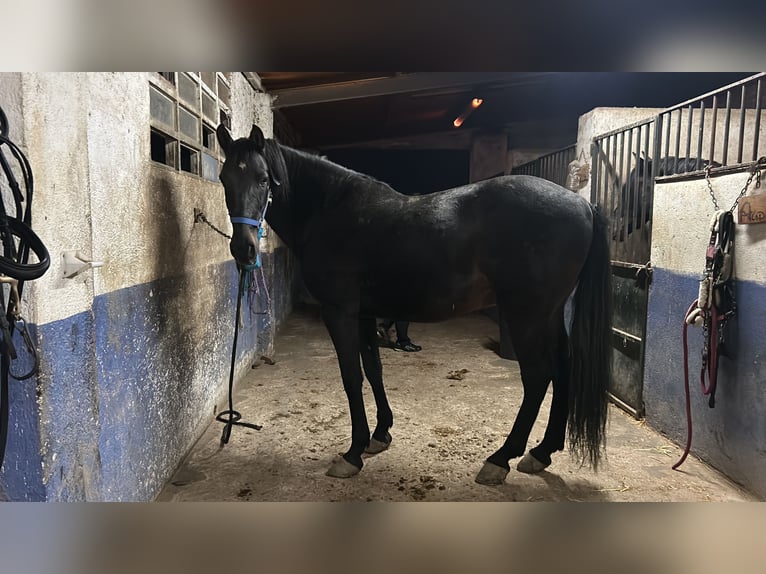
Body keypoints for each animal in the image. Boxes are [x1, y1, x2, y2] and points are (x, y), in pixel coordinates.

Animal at [219, 125, 616, 486]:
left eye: (263, 179)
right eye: (224, 179)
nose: (244, 249)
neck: (330, 211)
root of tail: (582, 203)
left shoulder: (340, 312)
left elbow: (351, 377)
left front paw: (352, 453)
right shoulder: (365, 313)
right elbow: (374, 369)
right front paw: (380, 434)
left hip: (526, 314)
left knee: (537, 377)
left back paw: (500, 459)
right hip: (548, 313)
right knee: (563, 367)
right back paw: (541, 453)